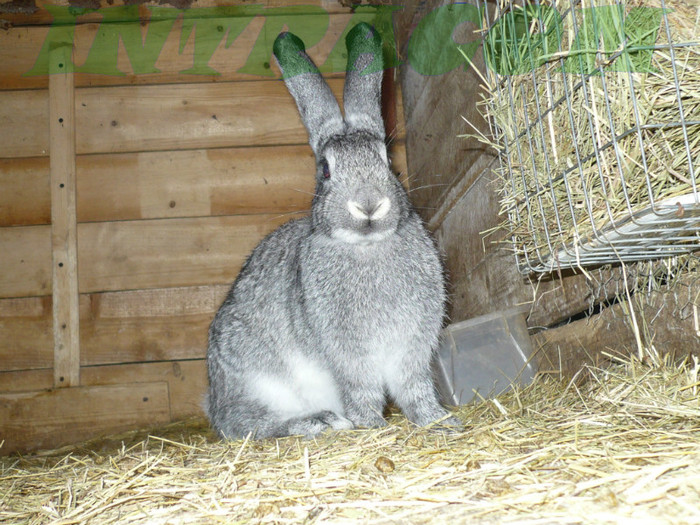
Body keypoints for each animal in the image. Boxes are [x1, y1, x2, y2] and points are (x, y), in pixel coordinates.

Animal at [205, 22, 462, 438]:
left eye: (386, 160)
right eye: (325, 170)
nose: (369, 205)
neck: (367, 246)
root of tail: (211, 400)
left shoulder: (411, 348)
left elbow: (415, 388)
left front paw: (438, 422)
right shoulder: (349, 355)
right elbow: (363, 390)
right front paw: (372, 425)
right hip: (256, 381)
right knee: (244, 424)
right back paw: (320, 421)